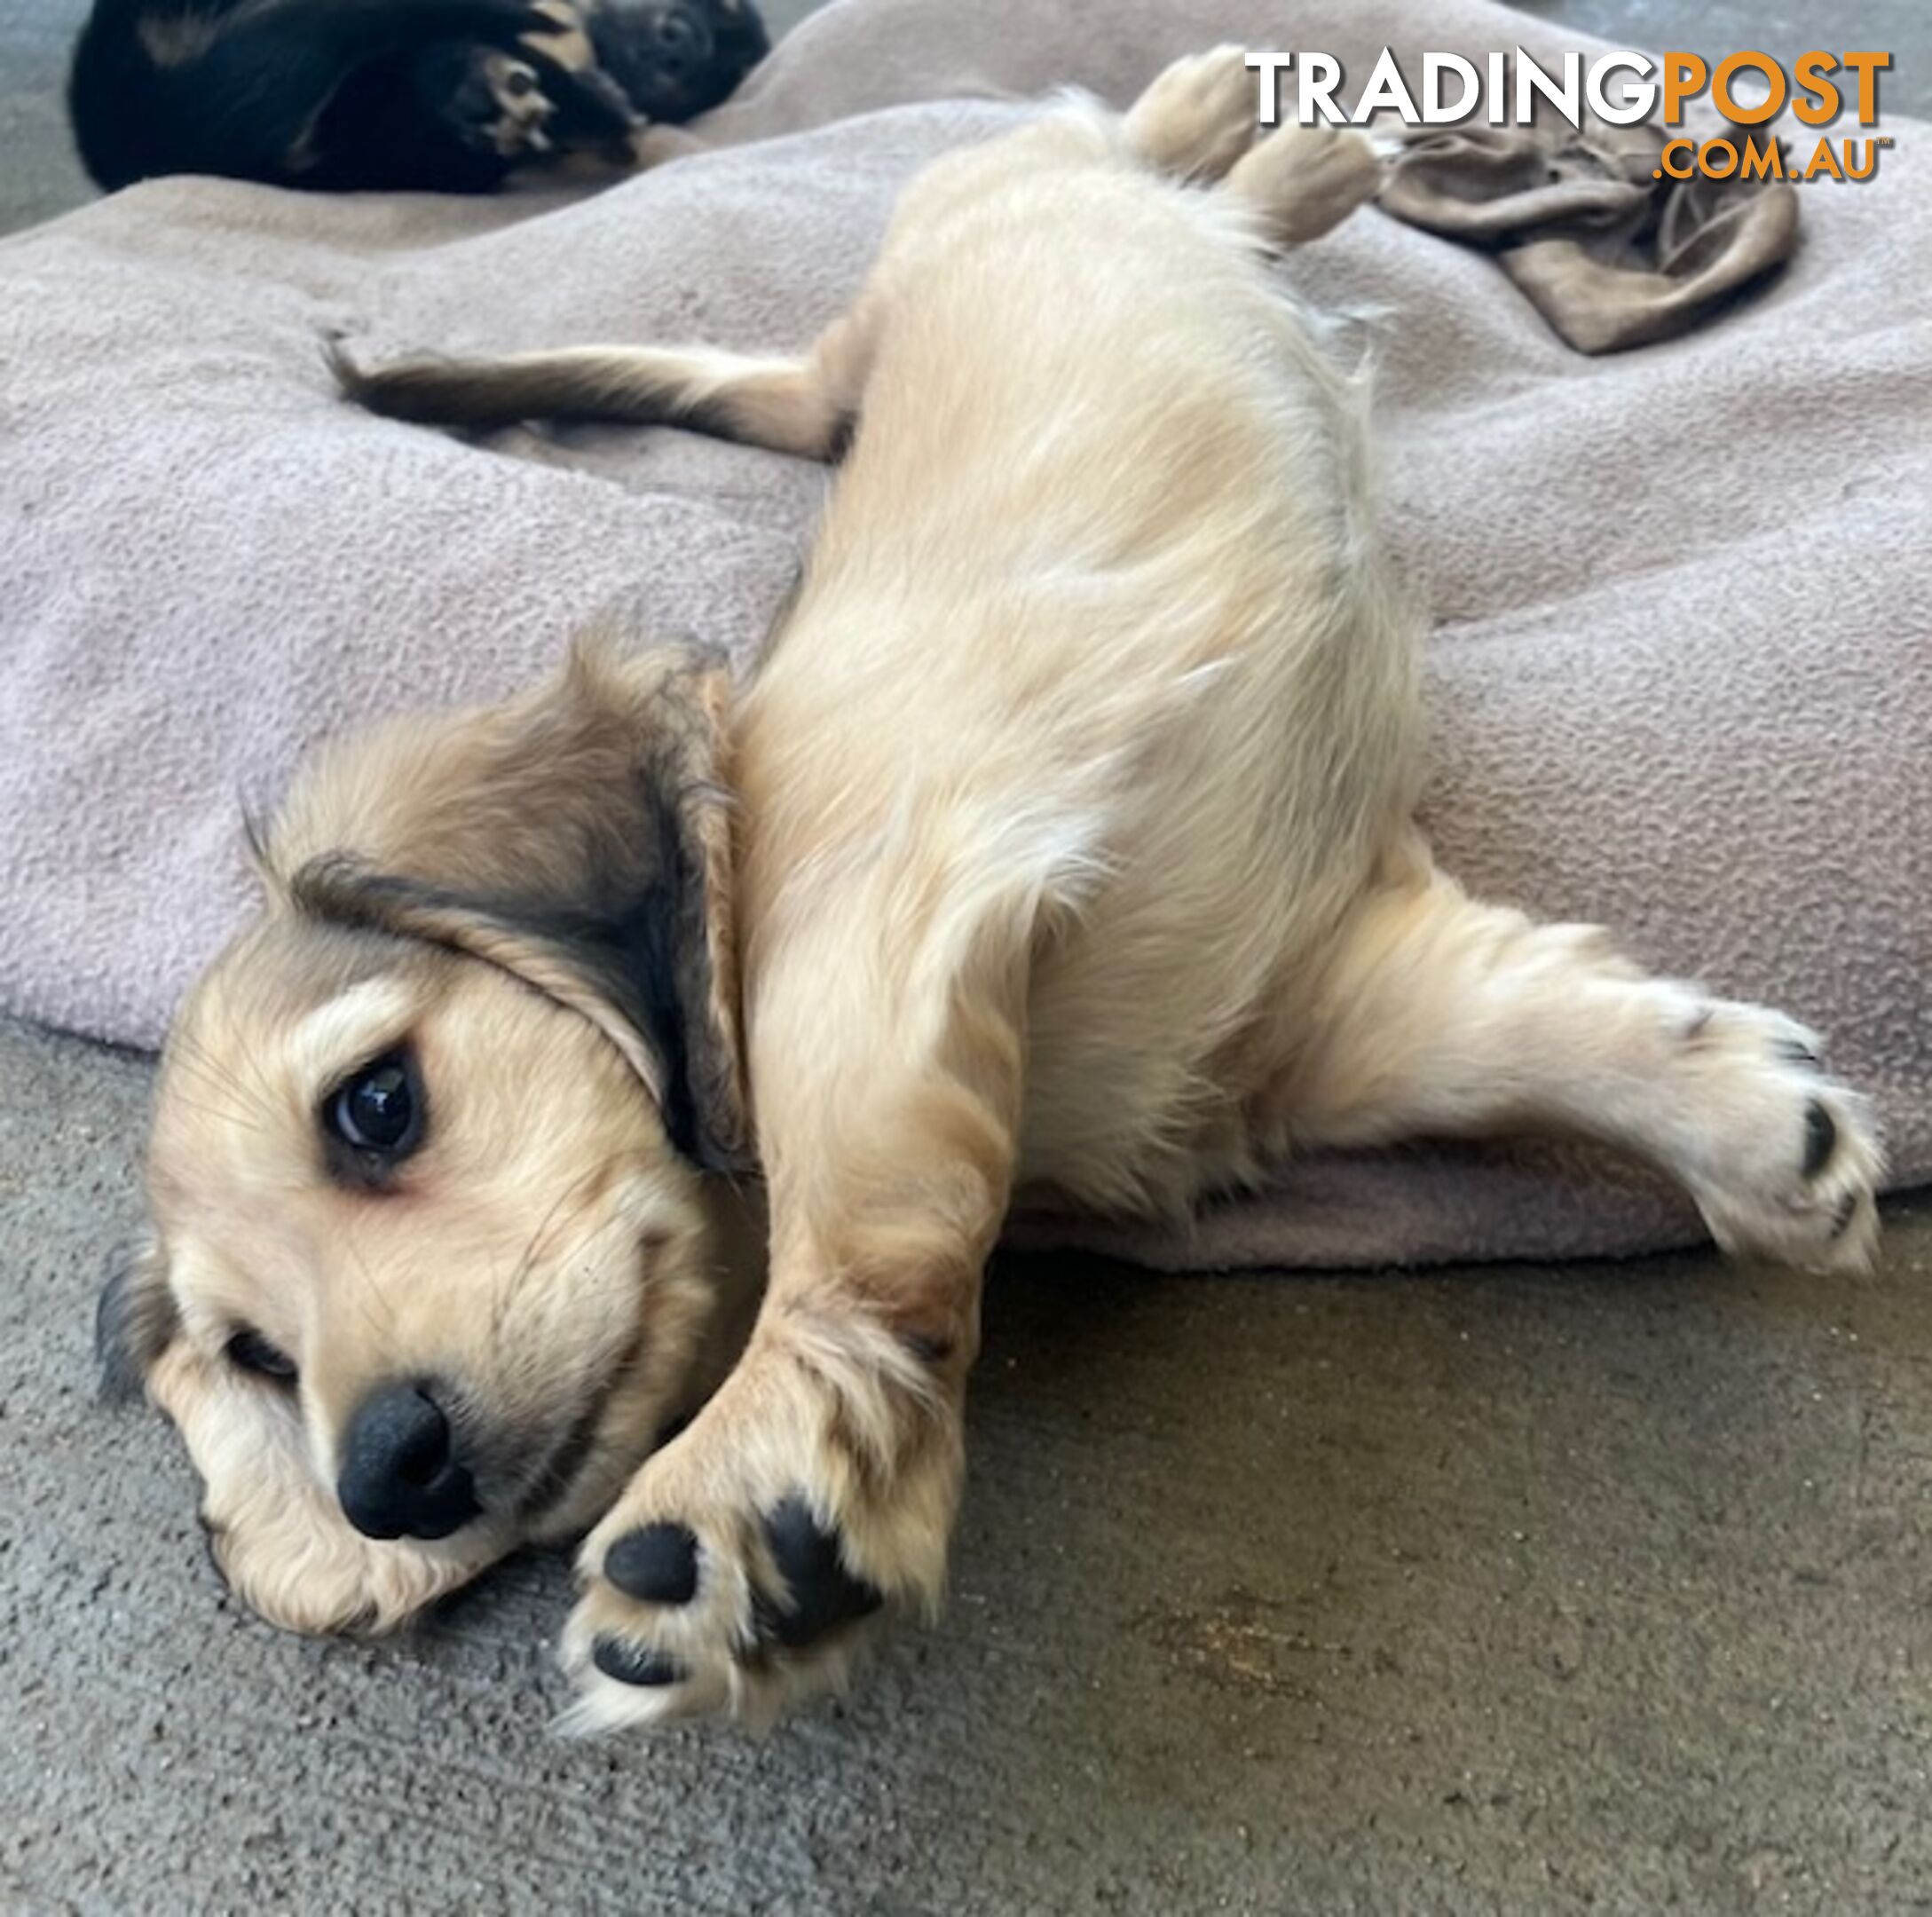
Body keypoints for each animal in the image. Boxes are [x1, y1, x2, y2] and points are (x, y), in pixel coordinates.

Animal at [98, 52, 1878, 1731]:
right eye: (257, 1355)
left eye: (375, 1108)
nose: (384, 1479)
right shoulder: (1312, 1004)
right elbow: (1512, 1034)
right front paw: (1746, 1128)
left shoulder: (876, 937)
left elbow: (861, 1219)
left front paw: (761, 1466)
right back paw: (1287, 163)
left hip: (939, 229)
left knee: (1087, 168)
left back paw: (1255, 125)